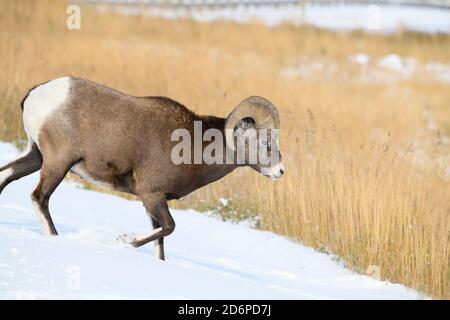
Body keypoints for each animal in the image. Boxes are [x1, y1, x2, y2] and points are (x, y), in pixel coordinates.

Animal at [0, 77, 284, 260]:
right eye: (266, 144)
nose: (280, 172)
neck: (192, 146)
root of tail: (36, 94)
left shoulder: (153, 202)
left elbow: (160, 240)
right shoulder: (152, 196)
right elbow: (169, 228)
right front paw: (124, 241)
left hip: (36, 157)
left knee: (6, 176)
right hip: (58, 163)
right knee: (39, 198)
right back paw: (55, 238)